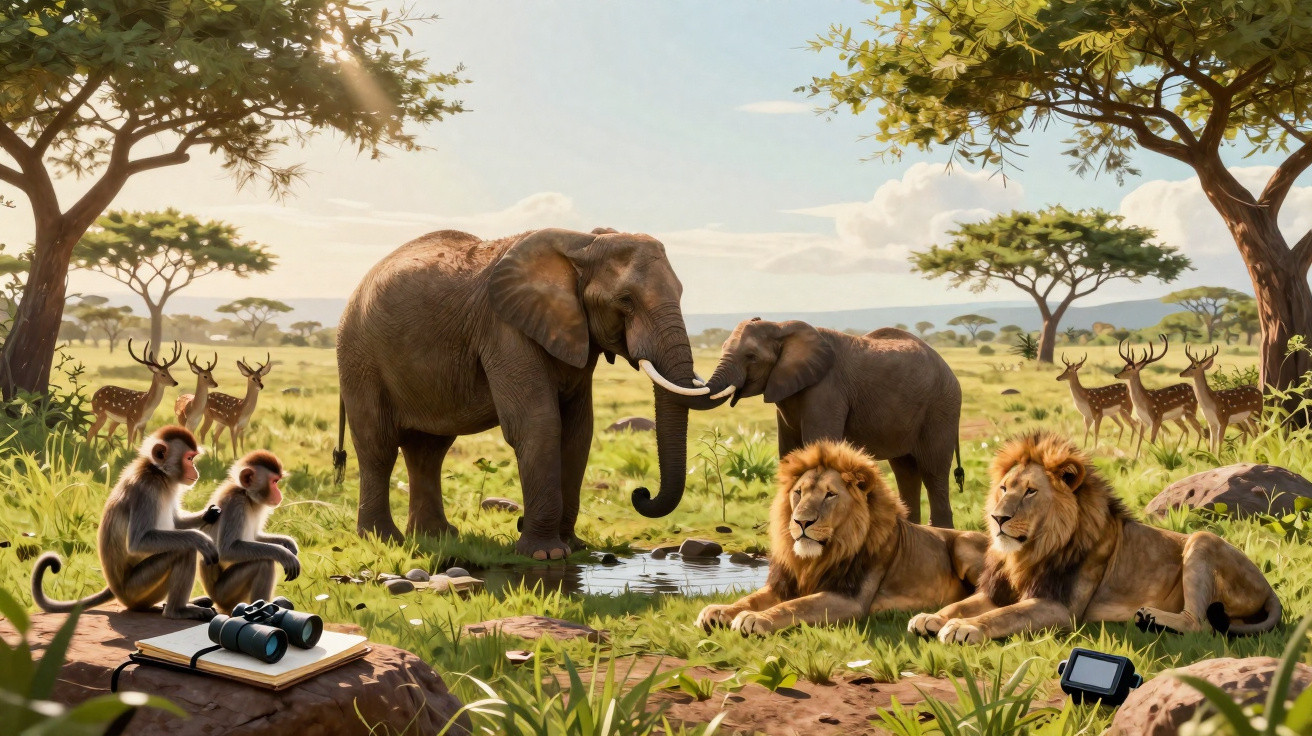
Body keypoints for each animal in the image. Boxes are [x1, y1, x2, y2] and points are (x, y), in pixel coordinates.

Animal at [335, 227, 727, 559]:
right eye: (625, 300)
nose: (640, 493)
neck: (584, 244)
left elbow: (578, 431)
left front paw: (573, 547)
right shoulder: (505, 329)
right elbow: (537, 423)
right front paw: (546, 555)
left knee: (429, 450)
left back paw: (438, 536)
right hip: (359, 357)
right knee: (378, 445)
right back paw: (384, 539)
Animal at [703, 319, 964, 527]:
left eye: (751, 357)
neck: (781, 326)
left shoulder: (827, 389)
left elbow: (818, 447)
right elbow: (789, 453)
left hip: (941, 407)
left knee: (933, 471)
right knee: (905, 470)